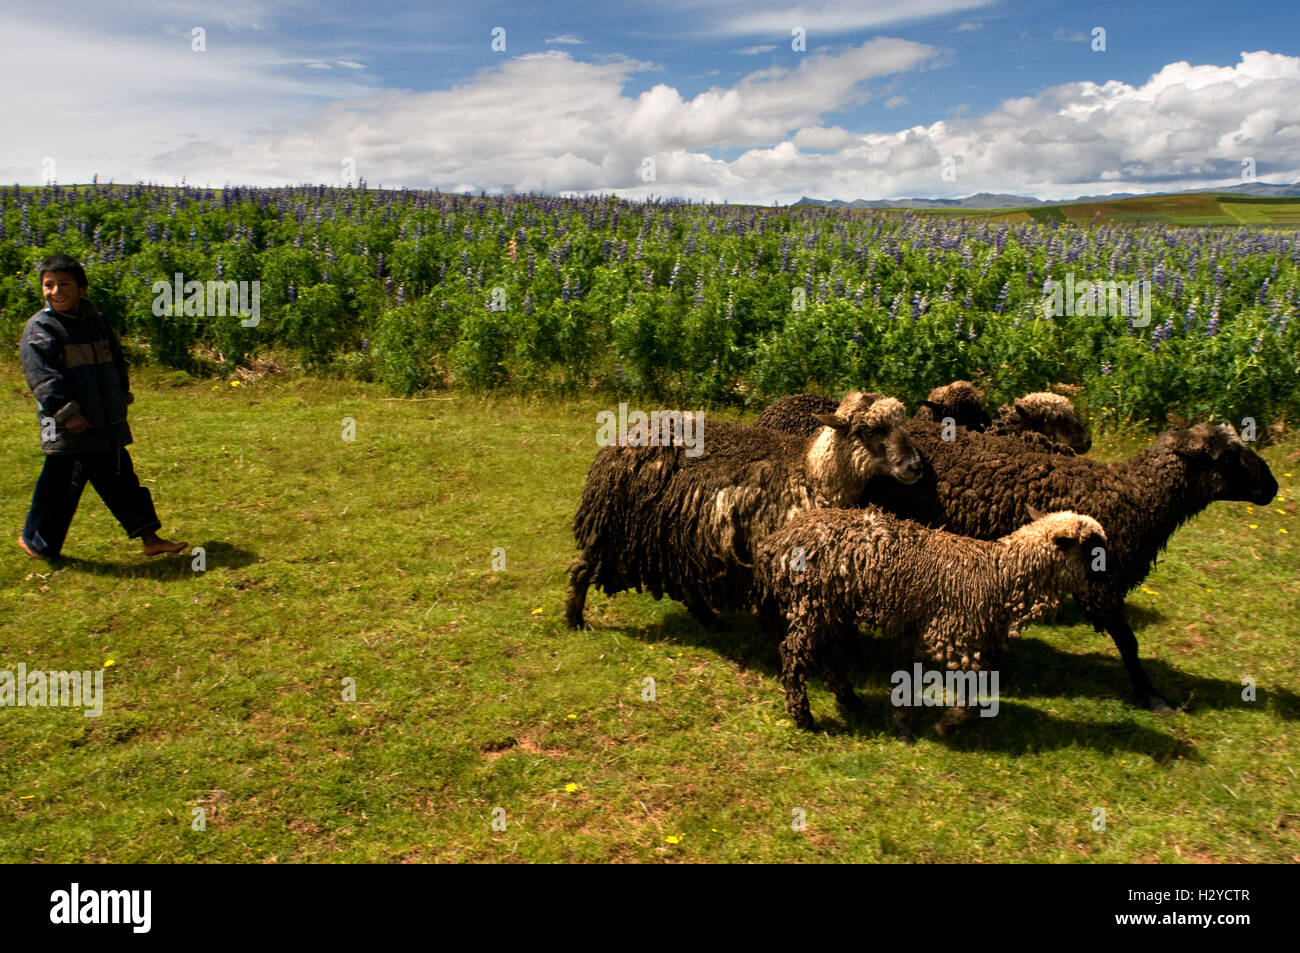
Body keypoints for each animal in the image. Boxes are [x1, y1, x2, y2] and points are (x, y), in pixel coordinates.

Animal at [566, 390, 925, 629]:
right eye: (868, 430)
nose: (915, 466)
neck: (812, 473)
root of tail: (619, 441)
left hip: (673, 537)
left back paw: (707, 618)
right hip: (617, 532)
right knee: (583, 570)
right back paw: (574, 619)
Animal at [754, 504, 1107, 728]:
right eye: (1093, 546)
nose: (1108, 572)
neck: (997, 575)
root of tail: (775, 541)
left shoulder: (923, 632)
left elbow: (912, 676)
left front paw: (901, 720)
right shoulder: (949, 634)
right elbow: (973, 682)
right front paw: (948, 724)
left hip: (831, 605)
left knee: (826, 652)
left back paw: (850, 700)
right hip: (813, 600)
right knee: (794, 652)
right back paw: (803, 715)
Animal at [863, 421, 1279, 712]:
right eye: (1227, 458)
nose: (1272, 487)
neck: (1132, 498)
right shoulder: (1100, 585)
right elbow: (1129, 641)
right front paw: (1152, 697)